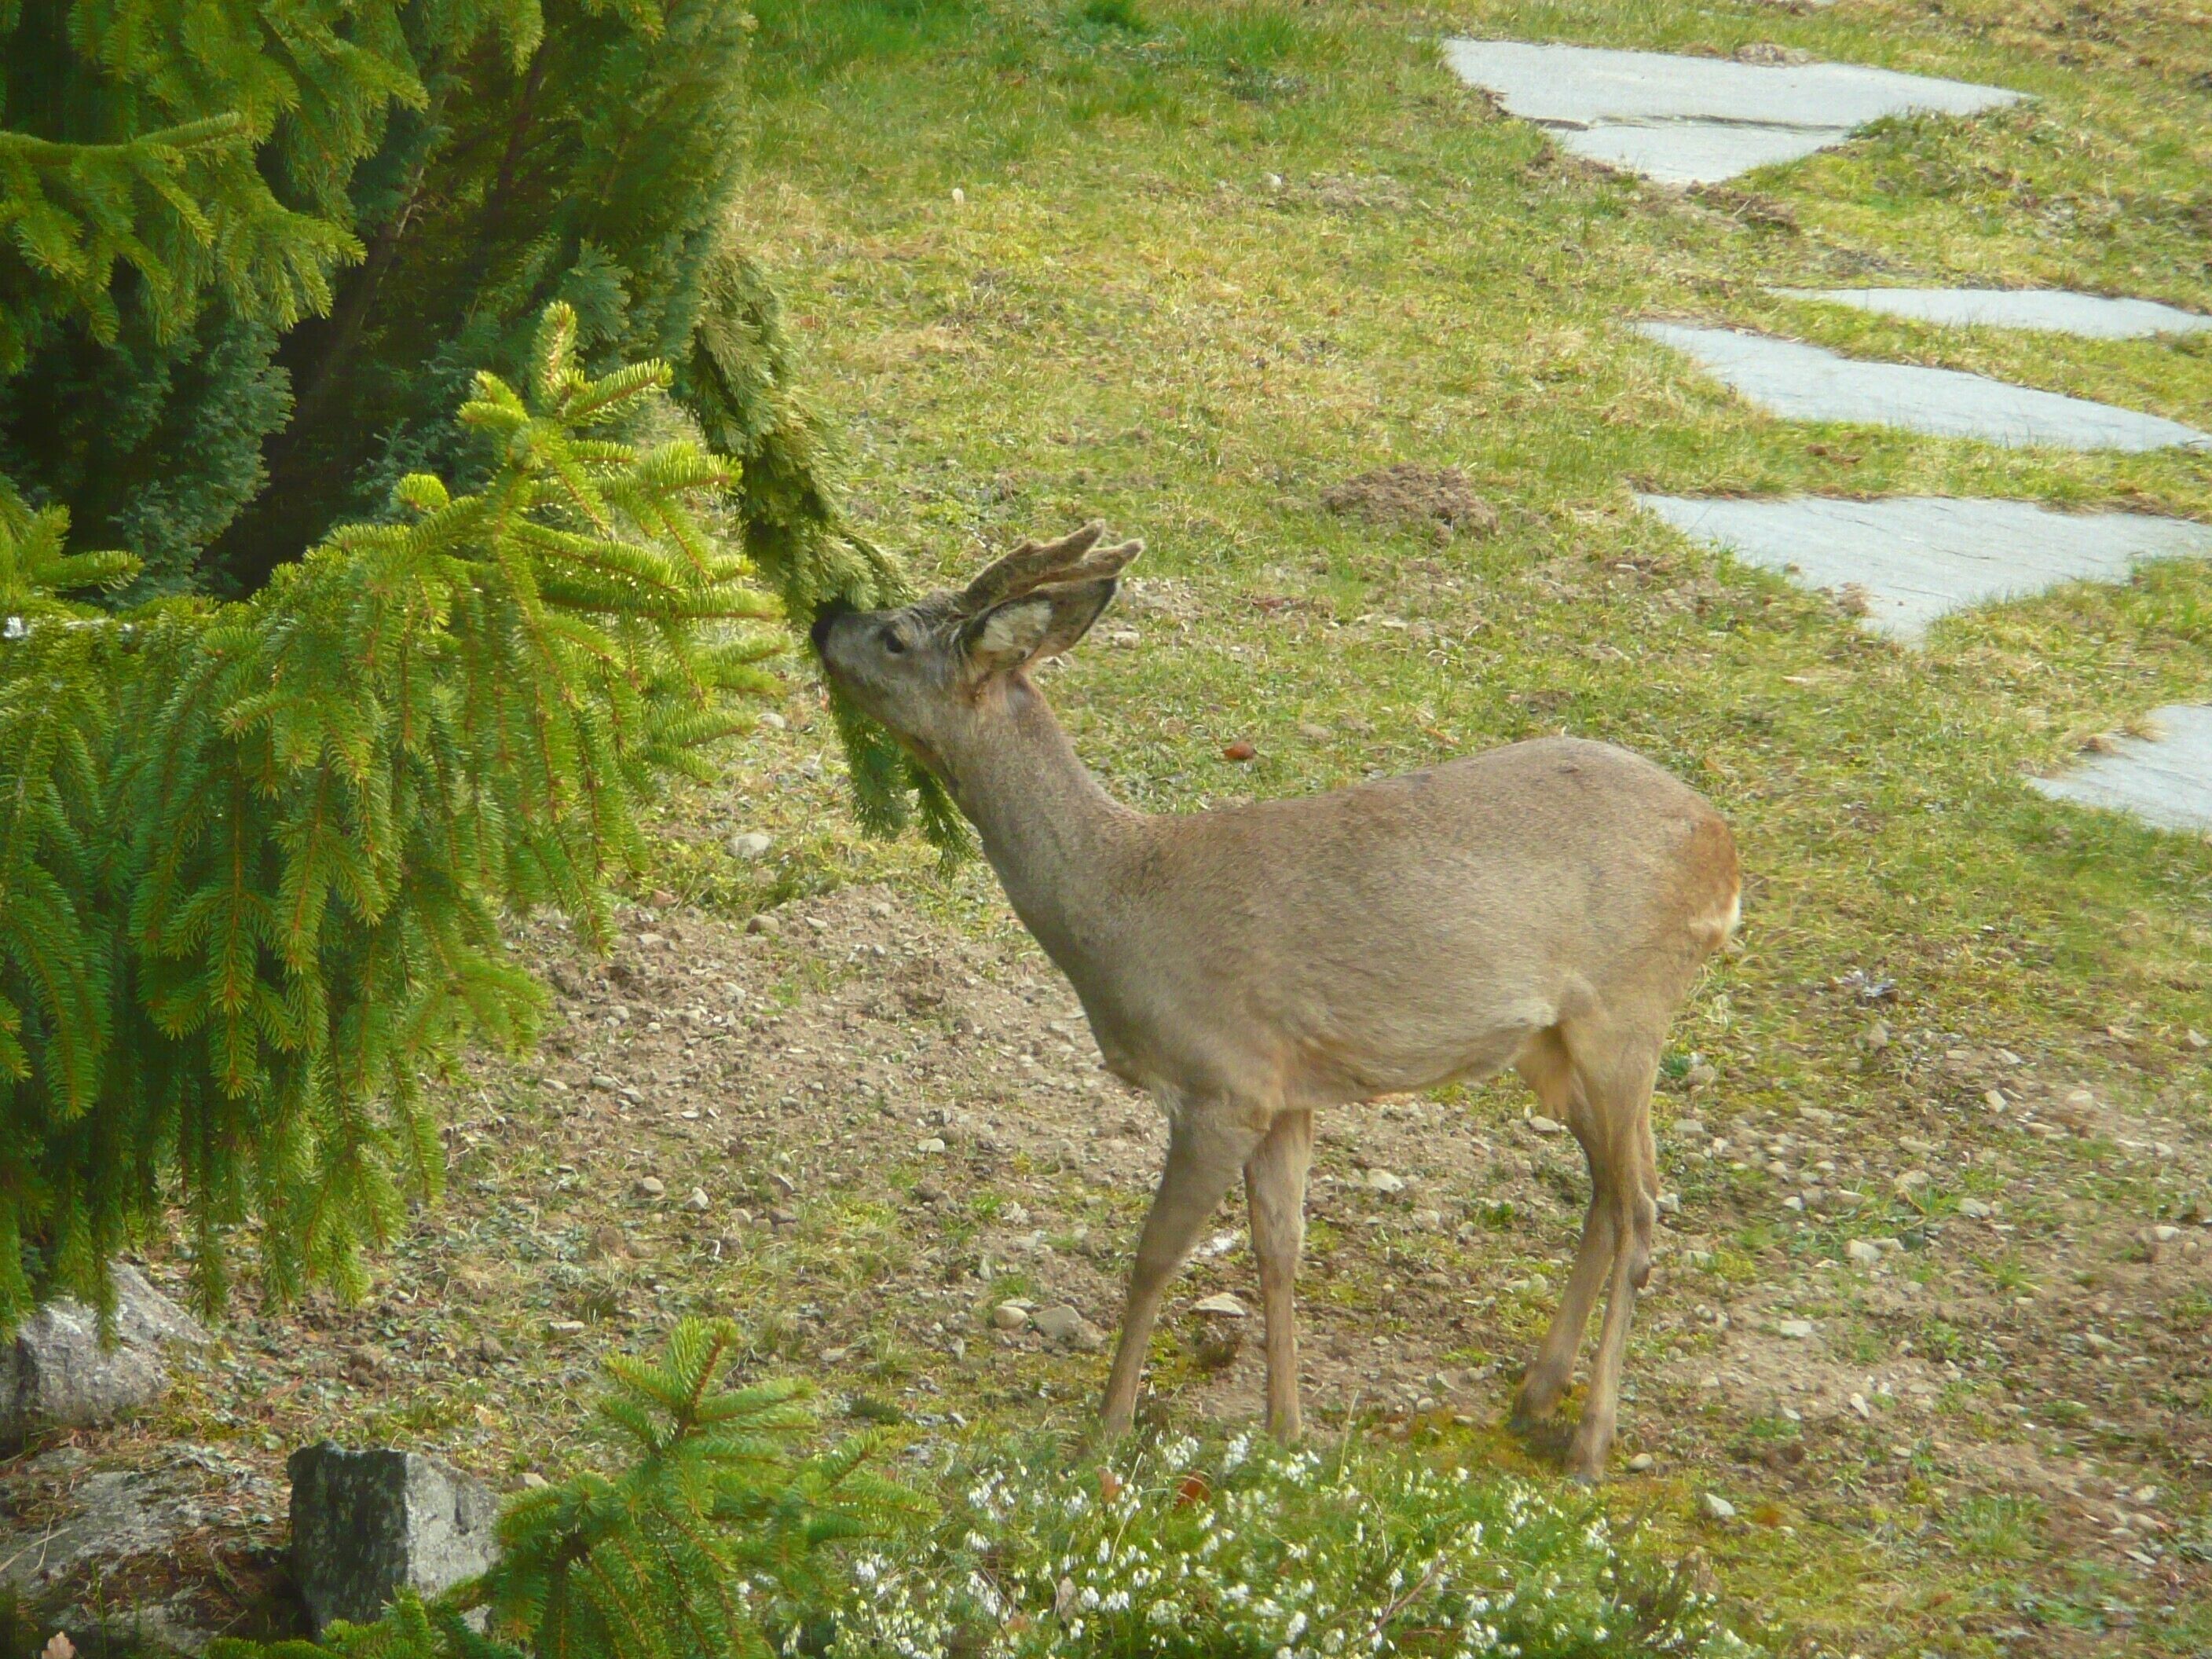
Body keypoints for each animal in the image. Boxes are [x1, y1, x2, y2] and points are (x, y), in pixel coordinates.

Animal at [811, 524, 1740, 1479]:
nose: (824, 615)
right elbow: (1278, 1252)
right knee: (1611, 1193)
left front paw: (1106, 1426)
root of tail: (1726, 852)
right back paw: (1534, 1399)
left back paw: (1590, 1444)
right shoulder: (1288, 1092)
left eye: (895, 636)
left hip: (1625, 1012)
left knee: (1640, 1208)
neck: (1121, 902)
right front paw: (1284, 1430)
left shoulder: (1223, 1081)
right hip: (1549, 1044)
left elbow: (1156, 1255)